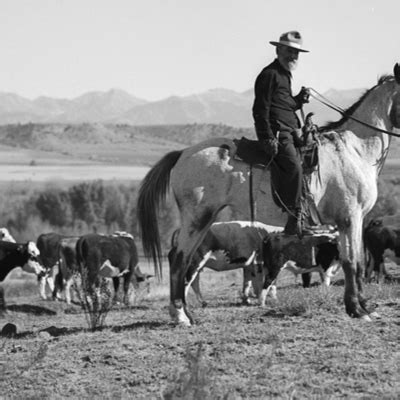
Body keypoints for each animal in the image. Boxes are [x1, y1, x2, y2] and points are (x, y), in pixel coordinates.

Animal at [138, 62, 400, 324]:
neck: (354, 150)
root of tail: (182, 153)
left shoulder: (352, 220)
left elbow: (356, 262)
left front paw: (364, 307)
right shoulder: (349, 217)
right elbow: (352, 263)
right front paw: (356, 309)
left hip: (203, 222)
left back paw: (186, 313)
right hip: (197, 218)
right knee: (179, 259)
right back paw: (180, 315)